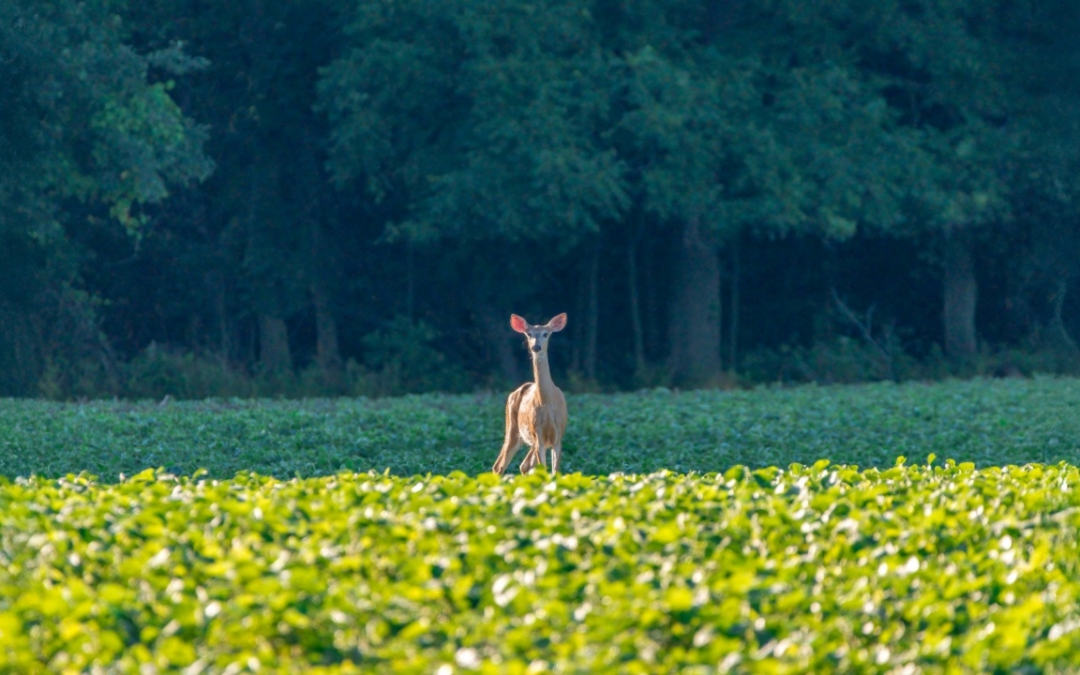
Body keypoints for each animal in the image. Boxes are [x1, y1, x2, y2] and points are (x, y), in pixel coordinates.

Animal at [491, 313, 568, 476]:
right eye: (529, 334)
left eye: (545, 334)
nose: (536, 347)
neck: (547, 404)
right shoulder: (538, 434)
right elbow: (544, 470)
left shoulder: (558, 434)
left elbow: (555, 472)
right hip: (513, 428)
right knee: (499, 465)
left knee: (524, 465)